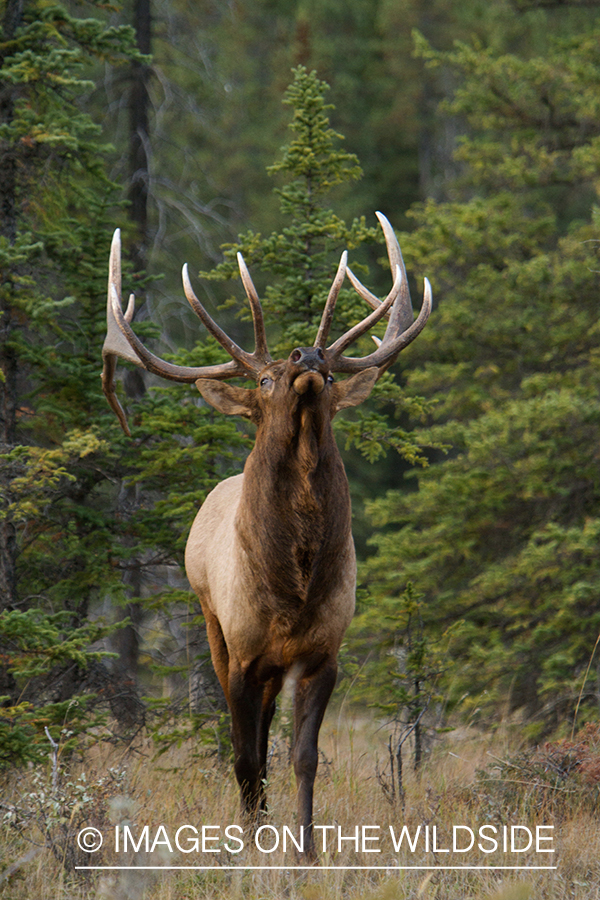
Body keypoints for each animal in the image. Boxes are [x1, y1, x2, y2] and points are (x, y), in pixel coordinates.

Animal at [103, 214, 432, 860]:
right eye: (262, 378)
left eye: (327, 372)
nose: (308, 352)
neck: (295, 584)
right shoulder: (242, 654)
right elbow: (244, 757)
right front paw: (250, 842)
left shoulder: (323, 653)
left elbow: (302, 758)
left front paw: (304, 848)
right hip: (212, 627)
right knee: (247, 744)